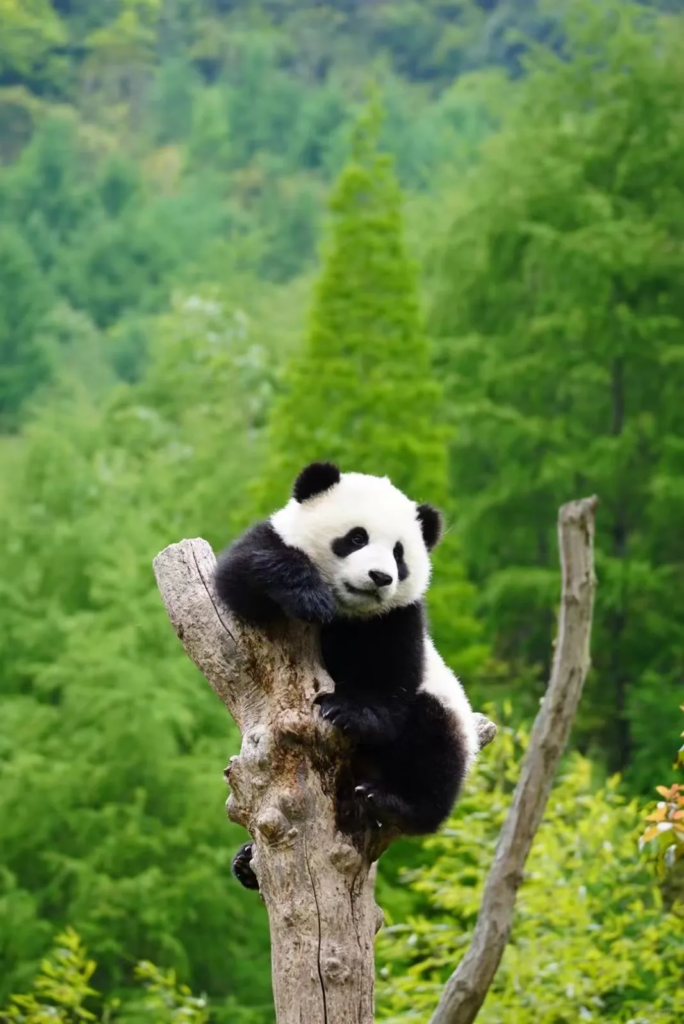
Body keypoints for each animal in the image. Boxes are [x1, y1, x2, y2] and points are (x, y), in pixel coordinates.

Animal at [215, 461, 480, 890]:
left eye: (399, 554)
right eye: (356, 537)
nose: (380, 577)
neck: (347, 611)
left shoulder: (397, 618)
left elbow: (391, 678)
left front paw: (347, 712)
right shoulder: (266, 548)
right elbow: (244, 575)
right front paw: (308, 595)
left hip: (445, 717)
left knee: (434, 745)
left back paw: (393, 802)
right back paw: (245, 862)